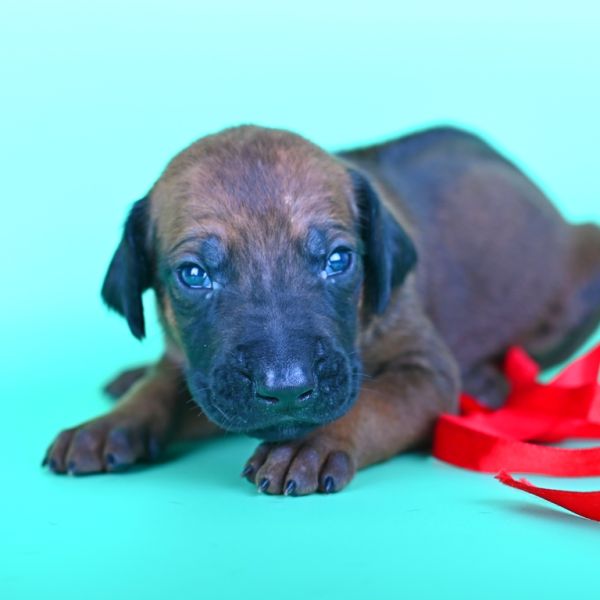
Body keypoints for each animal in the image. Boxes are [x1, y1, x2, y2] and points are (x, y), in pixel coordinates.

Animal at [42, 125, 600, 495]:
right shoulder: (199, 371)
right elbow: (160, 386)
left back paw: (486, 380)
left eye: (338, 260)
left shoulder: (424, 372)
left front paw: (310, 445)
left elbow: (373, 402)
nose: (286, 388)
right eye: (193, 275)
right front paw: (110, 423)